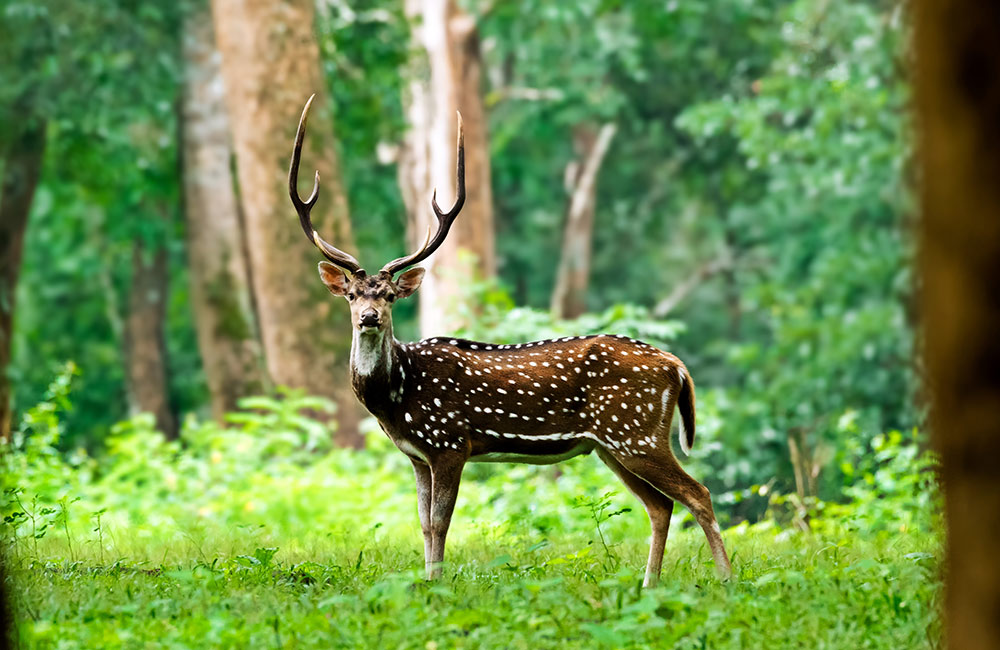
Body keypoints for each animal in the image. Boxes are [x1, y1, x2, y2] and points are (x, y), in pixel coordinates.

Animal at [290, 95, 736, 584]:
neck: (397, 395)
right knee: (661, 505)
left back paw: (726, 581)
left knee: (698, 493)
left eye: (389, 295)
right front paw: (425, 582)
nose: (369, 317)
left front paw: (437, 585)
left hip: (636, 432)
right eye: (352, 294)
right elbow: (423, 522)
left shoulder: (450, 442)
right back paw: (649, 584)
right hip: (613, 445)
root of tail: (676, 366)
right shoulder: (417, 454)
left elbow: (441, 522)